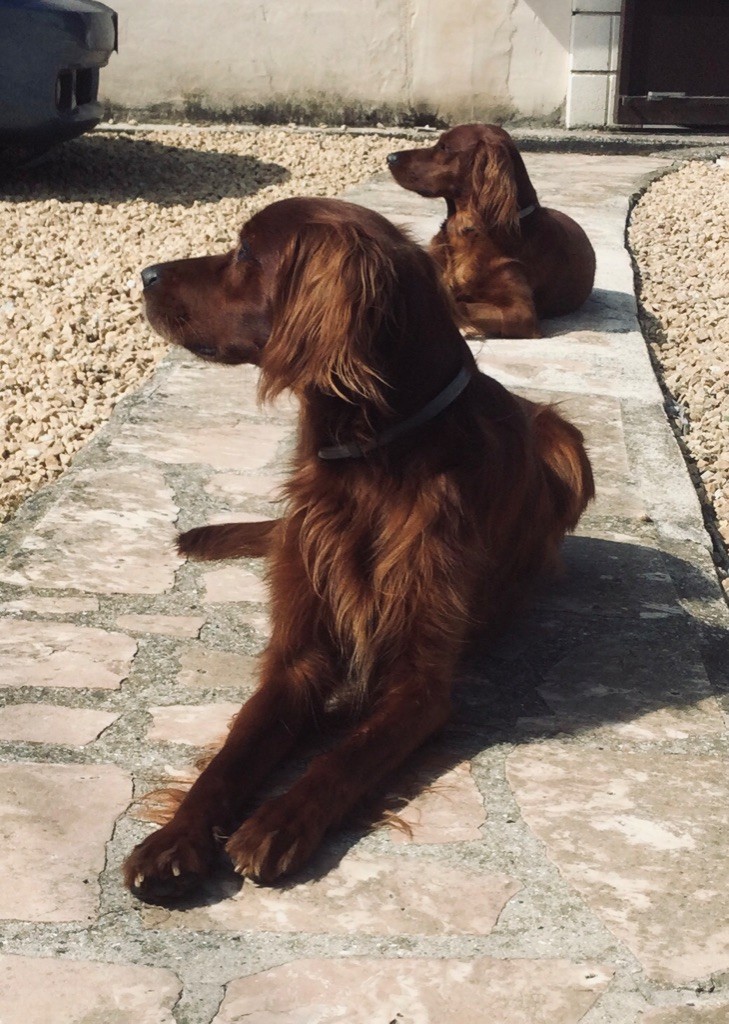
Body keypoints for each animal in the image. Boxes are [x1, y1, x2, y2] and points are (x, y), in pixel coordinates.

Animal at [123, 195, 593, 901]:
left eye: (245, 252)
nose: (146, 274)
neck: (374, 459)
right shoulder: (297, 657)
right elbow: (231, 757)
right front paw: (174, 839)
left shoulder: (419, 686)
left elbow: (344, 758)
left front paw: (275, 824)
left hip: (565, 440)